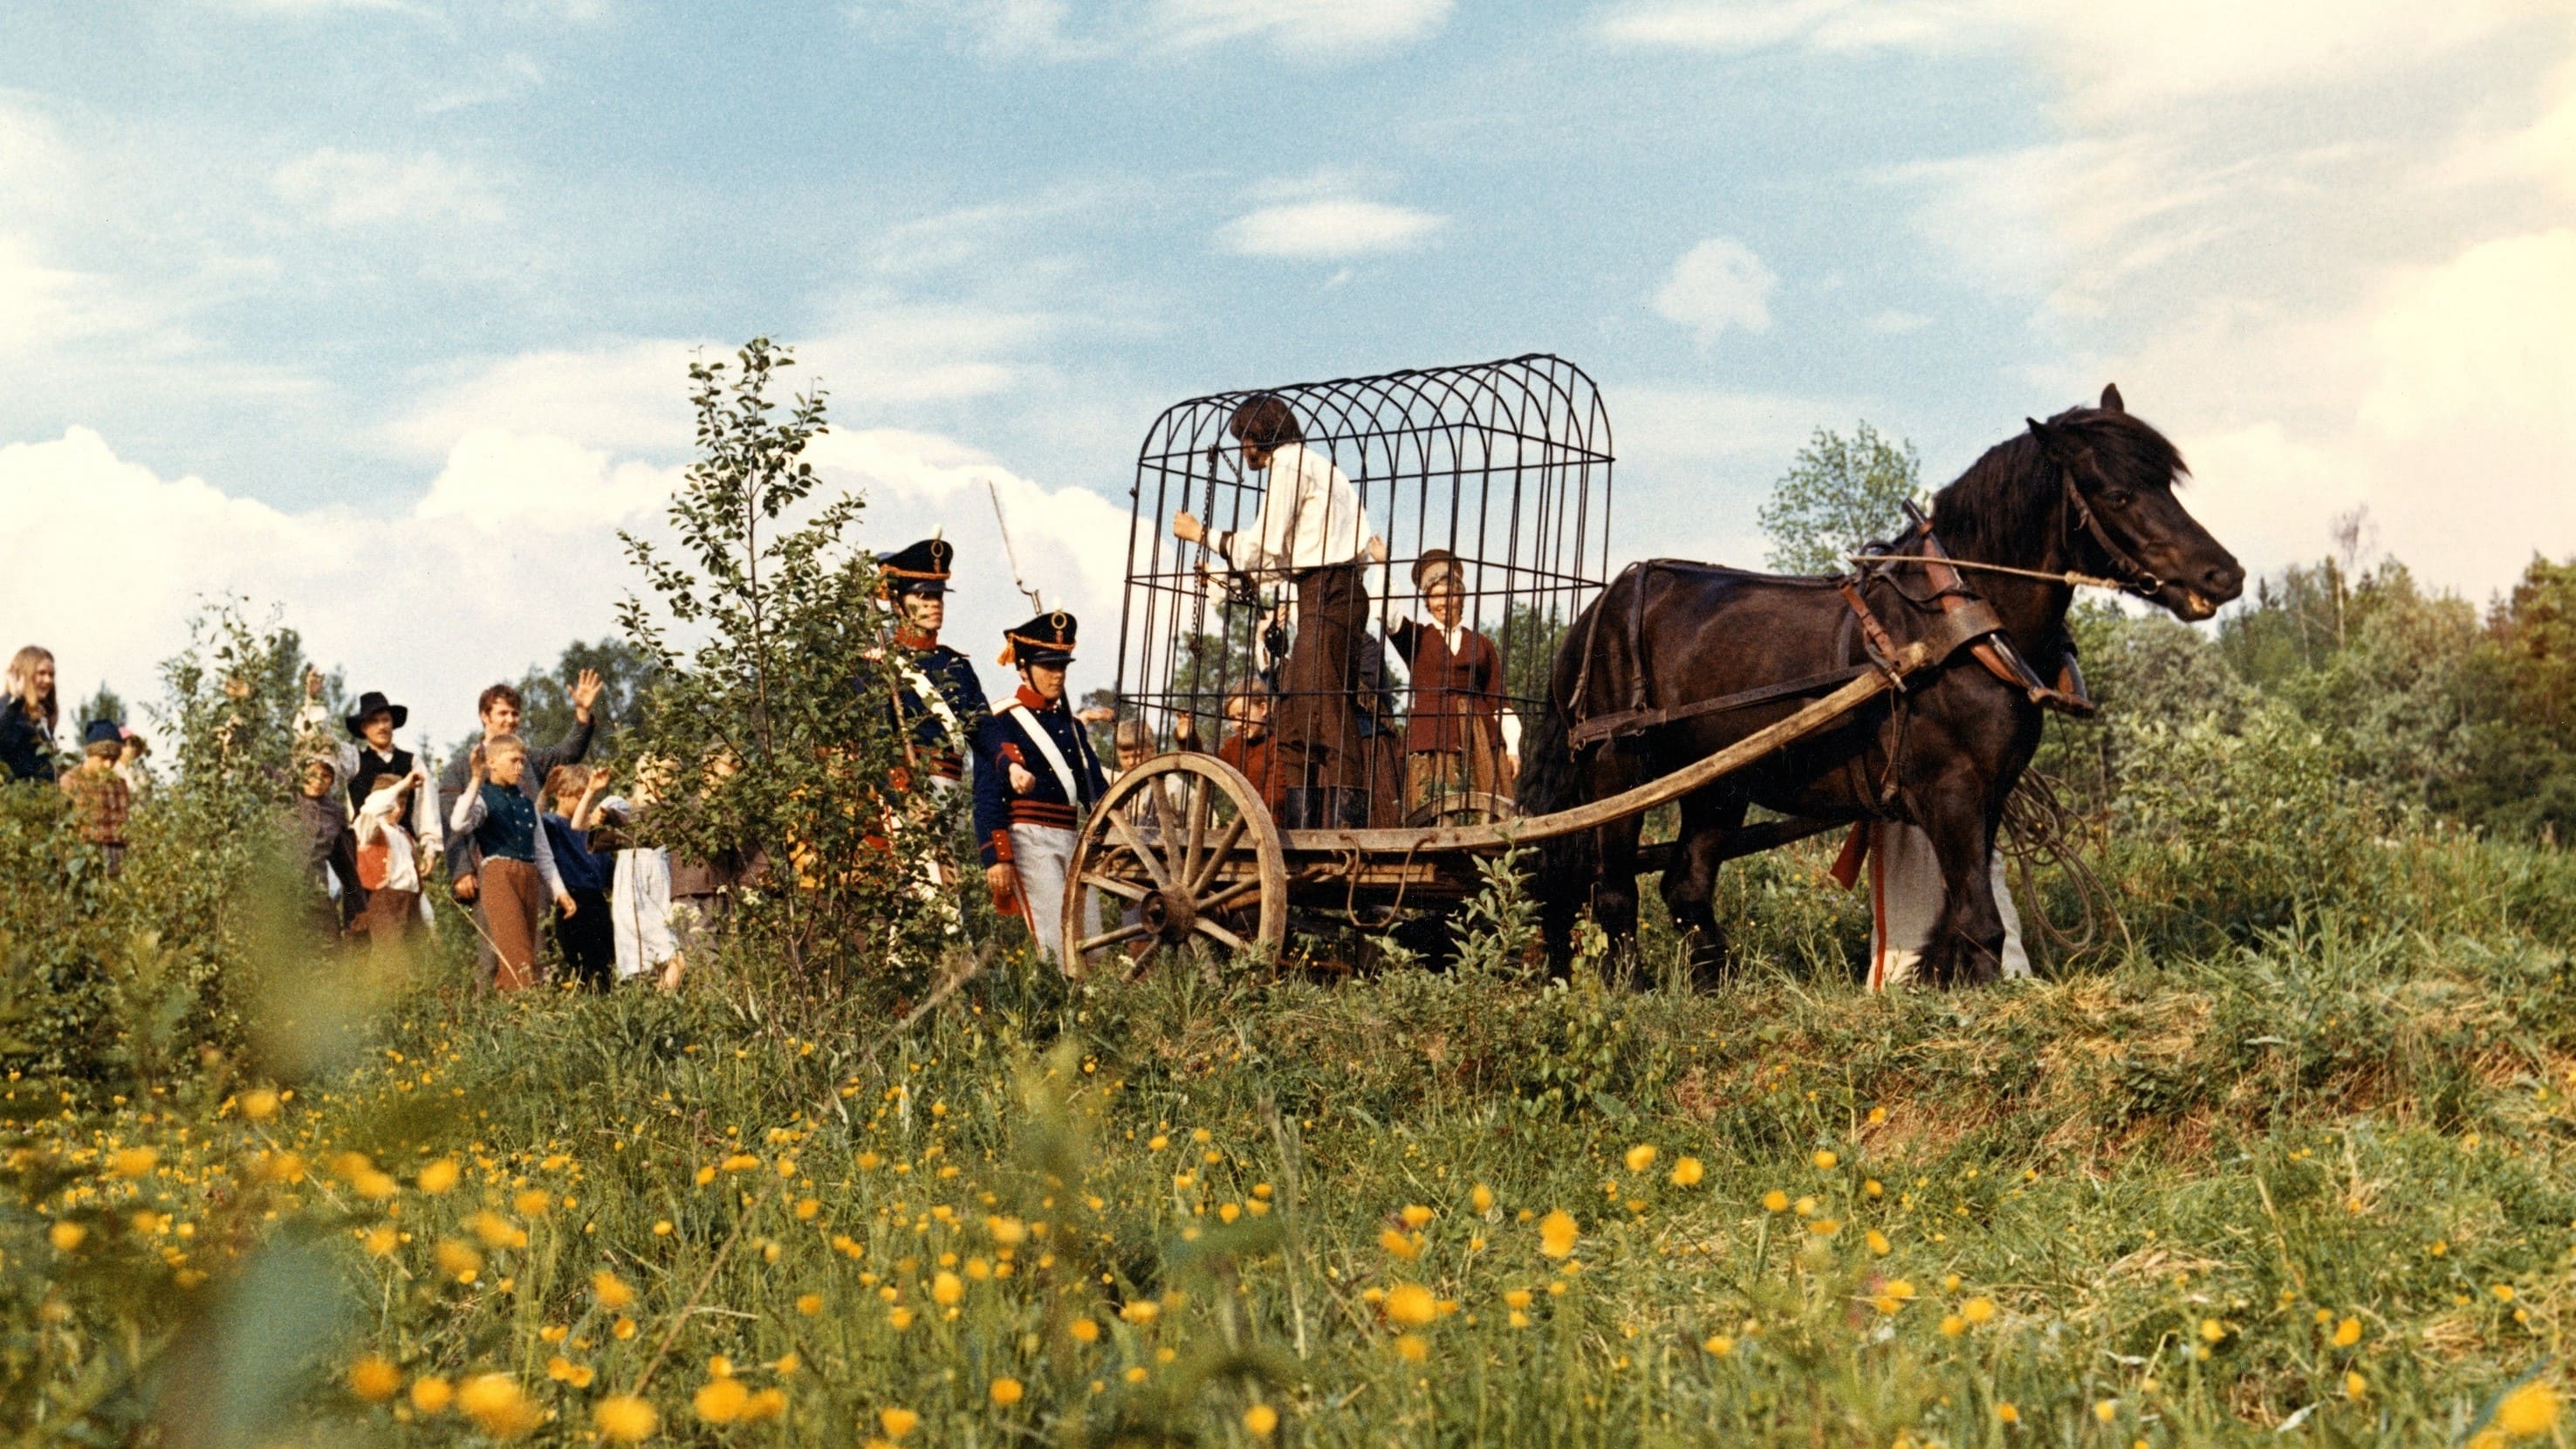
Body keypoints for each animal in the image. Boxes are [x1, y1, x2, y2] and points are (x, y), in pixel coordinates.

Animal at [1514, 387, 2246, 979]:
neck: (1958, 628)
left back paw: (1711, 990)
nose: (2225, 575)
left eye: (2168, 485)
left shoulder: (1988, 793)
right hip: (1617, 766)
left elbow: (1960, 920)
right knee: (1612, 890)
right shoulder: (1950, 789)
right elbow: (1980, 923)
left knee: (1686, 887)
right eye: (2118, 494)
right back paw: (1630, 991)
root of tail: (1595, 613)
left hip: (1717, 783)